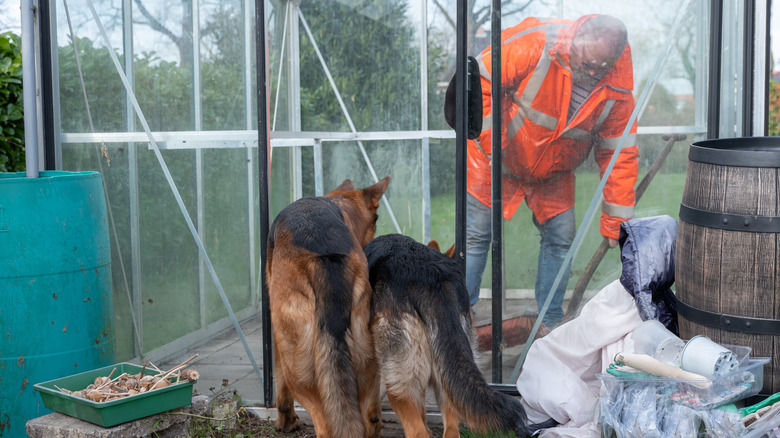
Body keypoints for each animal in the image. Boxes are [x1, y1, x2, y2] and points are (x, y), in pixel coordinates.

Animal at [266, 176, 390, 436]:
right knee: (367, 417)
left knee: (323, 423)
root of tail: (323, 256)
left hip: (300, 372)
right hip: (365, 360)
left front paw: (286, 420)